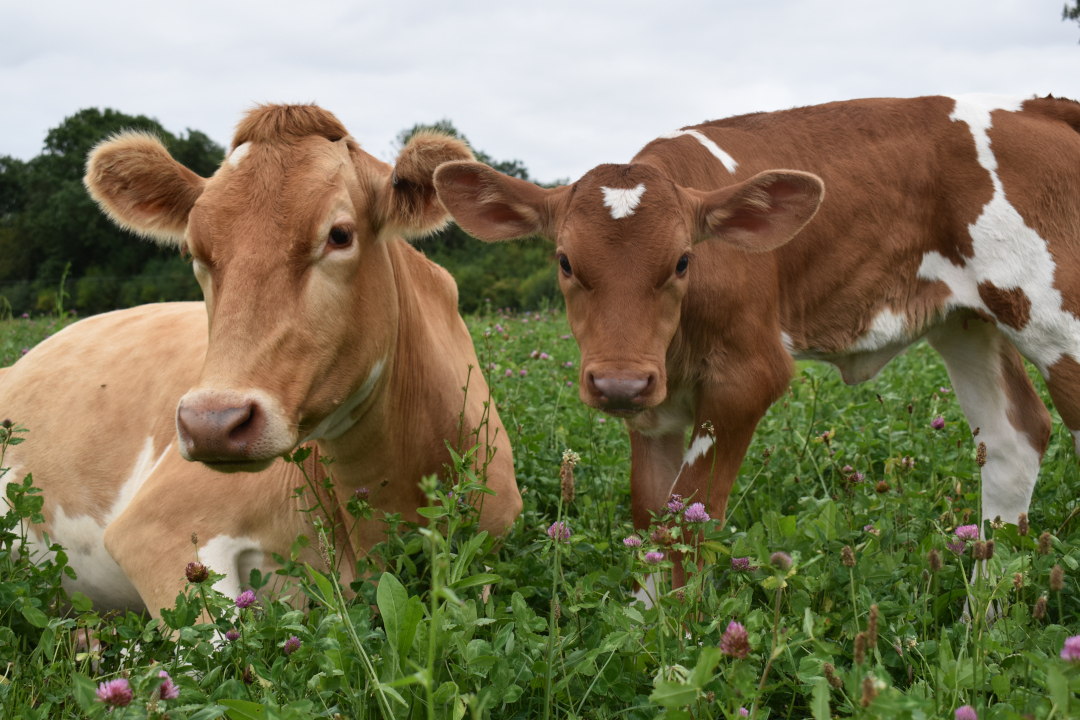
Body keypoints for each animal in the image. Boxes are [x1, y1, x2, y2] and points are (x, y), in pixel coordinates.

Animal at [434, 94, 1080, 590]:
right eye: (565, 261)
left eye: (682, 261)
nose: (619, 381)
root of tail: (1040, 107)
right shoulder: (654, 408)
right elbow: (653, 516)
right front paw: (646, 634)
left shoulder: (748, 376)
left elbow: (691, 519)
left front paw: (679, 651)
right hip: (966, 322)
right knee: (1014, 440)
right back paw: (983, 618)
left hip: (1055, 317)